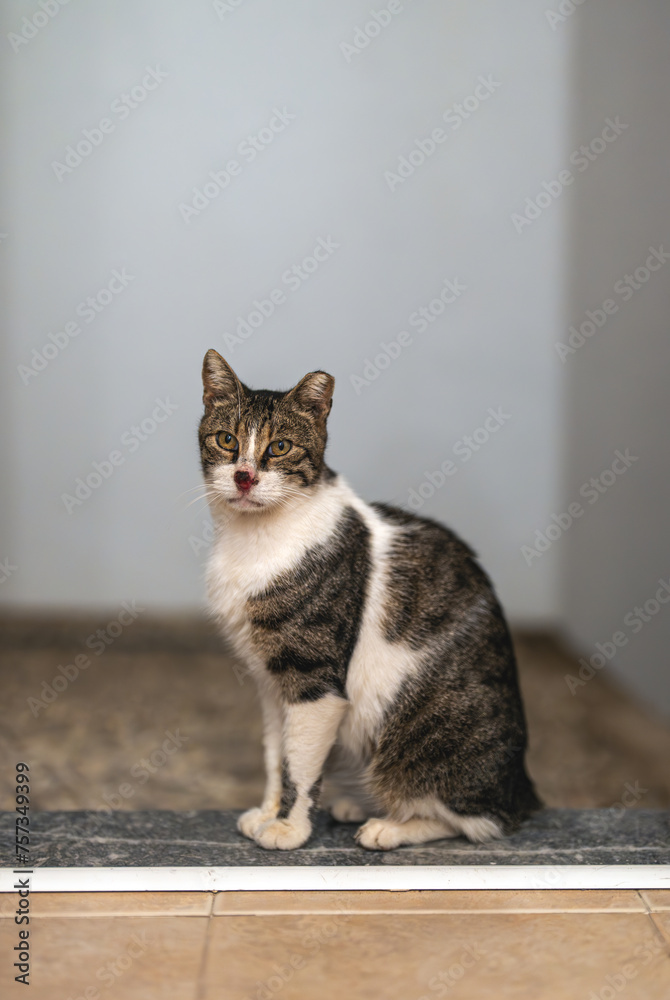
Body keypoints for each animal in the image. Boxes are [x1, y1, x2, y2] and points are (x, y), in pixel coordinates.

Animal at [200, 350, 540, 852]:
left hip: (421, 742)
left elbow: (299, 762)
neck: (254, 542)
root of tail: (522, 788)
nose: (244, 477)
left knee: (476, 821)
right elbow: (274, 753)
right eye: (226, 440)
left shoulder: (314, 680)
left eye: (279, 447)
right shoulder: (269, 682)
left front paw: (288, 828)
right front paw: (266, 812)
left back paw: (390, 826)